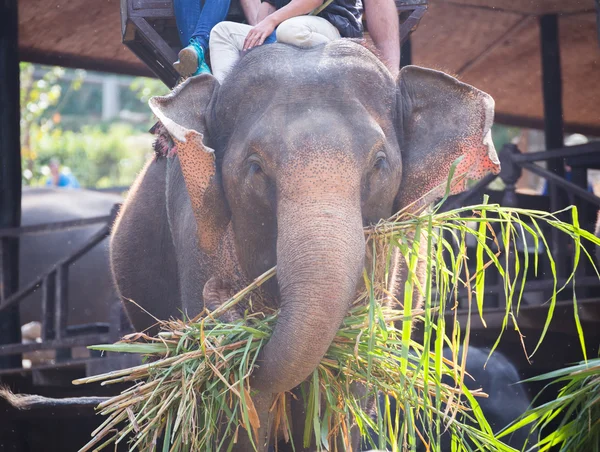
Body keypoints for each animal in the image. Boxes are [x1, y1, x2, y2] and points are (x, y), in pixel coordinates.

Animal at [109, 39, 502, 452]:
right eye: (255, 167)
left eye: (379, 163)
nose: (218, 294)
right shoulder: (198, 232)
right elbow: (239, 404)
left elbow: (345, 384)